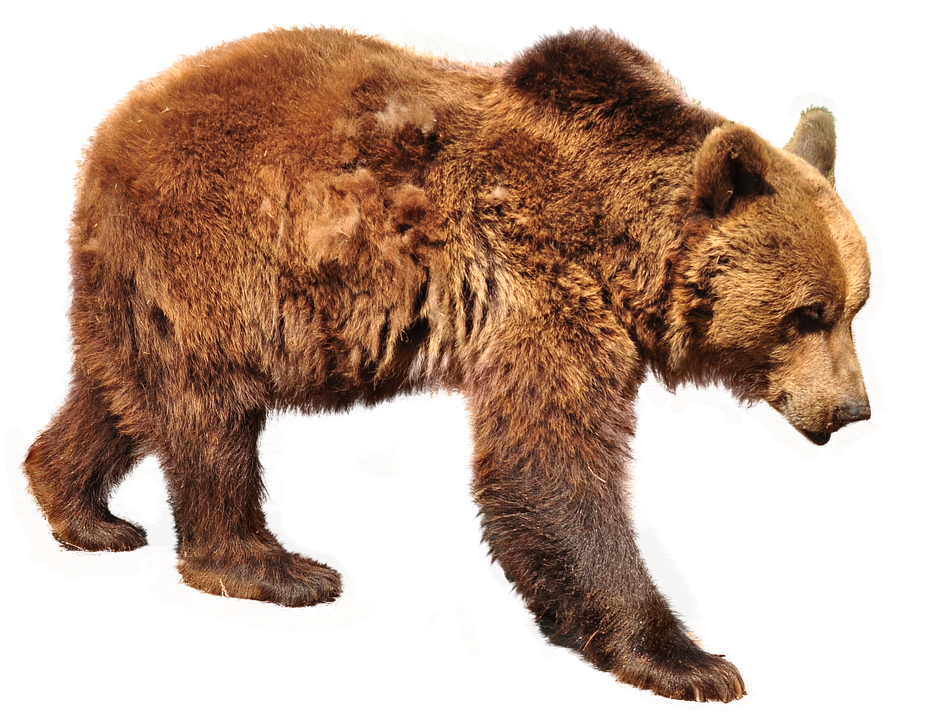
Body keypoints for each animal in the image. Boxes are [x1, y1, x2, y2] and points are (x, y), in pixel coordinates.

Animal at [27, 23, 873, 703]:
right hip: (219, 255)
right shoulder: (542, 282)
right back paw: (279, 564)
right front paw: (688, 660)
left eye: (861, 304)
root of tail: (112, 127)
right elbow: (550, 462)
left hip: (138, 287)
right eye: (808, 313)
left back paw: (85, 512)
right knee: (213, 418)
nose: (853, 410)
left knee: (115, 394)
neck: (619, 242)